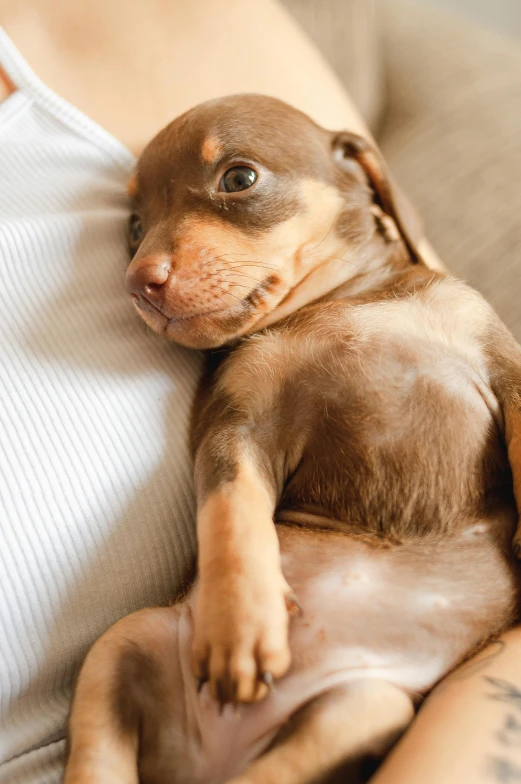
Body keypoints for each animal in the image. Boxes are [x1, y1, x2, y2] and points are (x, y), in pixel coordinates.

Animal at [64, 95, 520, 780]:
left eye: (238, 178)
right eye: (136, 227)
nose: (139, 281)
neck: (340, 303)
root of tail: (207, 758)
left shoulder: (504, 364)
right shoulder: (236, 425)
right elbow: (230, 513)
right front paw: (240, 626)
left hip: (362, 705)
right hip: (124, 644)